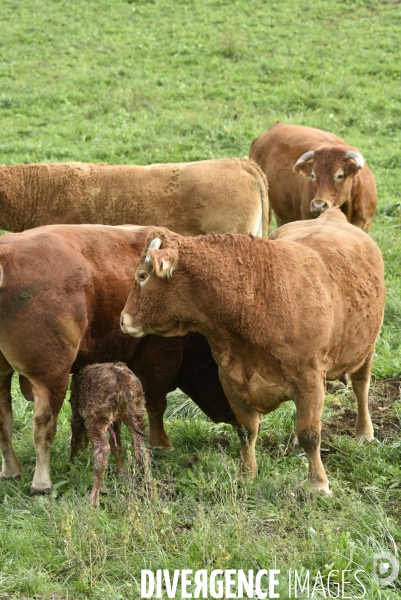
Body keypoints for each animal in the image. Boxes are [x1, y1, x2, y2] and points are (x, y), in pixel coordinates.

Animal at [69, 360, 150, 506]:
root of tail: (124, 379)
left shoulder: (76, 413)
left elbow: (75, 442)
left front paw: (70, 468)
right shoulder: (116, 421)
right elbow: (117, 445)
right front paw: (121, 473)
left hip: (96, 416)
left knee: (103, 449)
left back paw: (93, 500)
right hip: (137, 411)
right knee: (141, 450)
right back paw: (150, 493)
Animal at [121, 211, 384, 496]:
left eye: (142, 276)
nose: (123, 319)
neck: (256, 298)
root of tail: (330, 215)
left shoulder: (310, 380)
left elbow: (310, 434)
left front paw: (319, 484)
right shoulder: (229, 377)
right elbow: (247, 430)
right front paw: (247, 474)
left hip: (367, 348)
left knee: (361, 387)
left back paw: (364, 432)